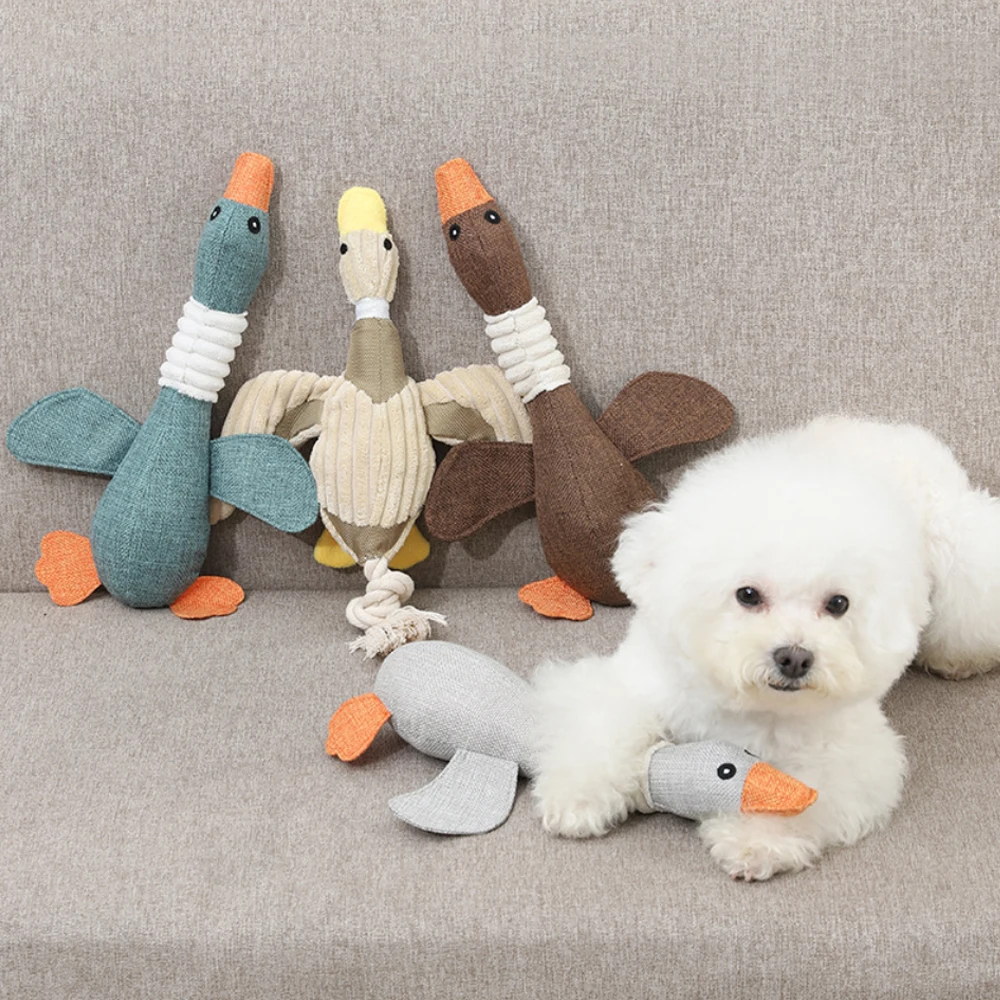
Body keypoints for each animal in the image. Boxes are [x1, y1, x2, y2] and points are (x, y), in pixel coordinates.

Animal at [530, 416, 1000, 879]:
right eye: (748, 595)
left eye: (838, 604)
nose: (794, 657)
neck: (741, 704)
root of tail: (889, 428)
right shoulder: (639, 682)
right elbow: (605, 726)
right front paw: (580, 795)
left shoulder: (849, 749)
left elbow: (801, 790)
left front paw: (758, 839)